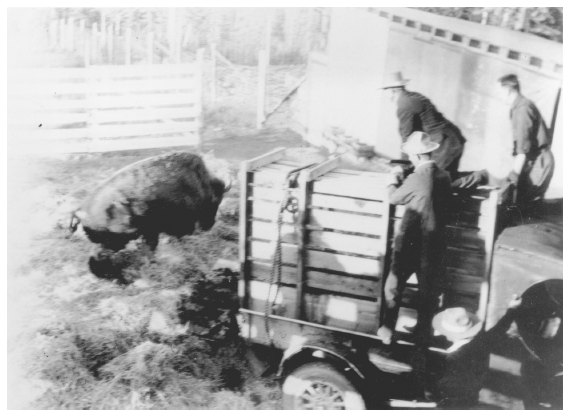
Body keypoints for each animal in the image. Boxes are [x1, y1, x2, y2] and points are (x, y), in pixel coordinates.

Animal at [69, 151, 231, 274]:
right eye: (216, 201)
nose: (209, 225)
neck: (200, 182)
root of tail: (81, 210)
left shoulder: (153, 231)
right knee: (100, 253)